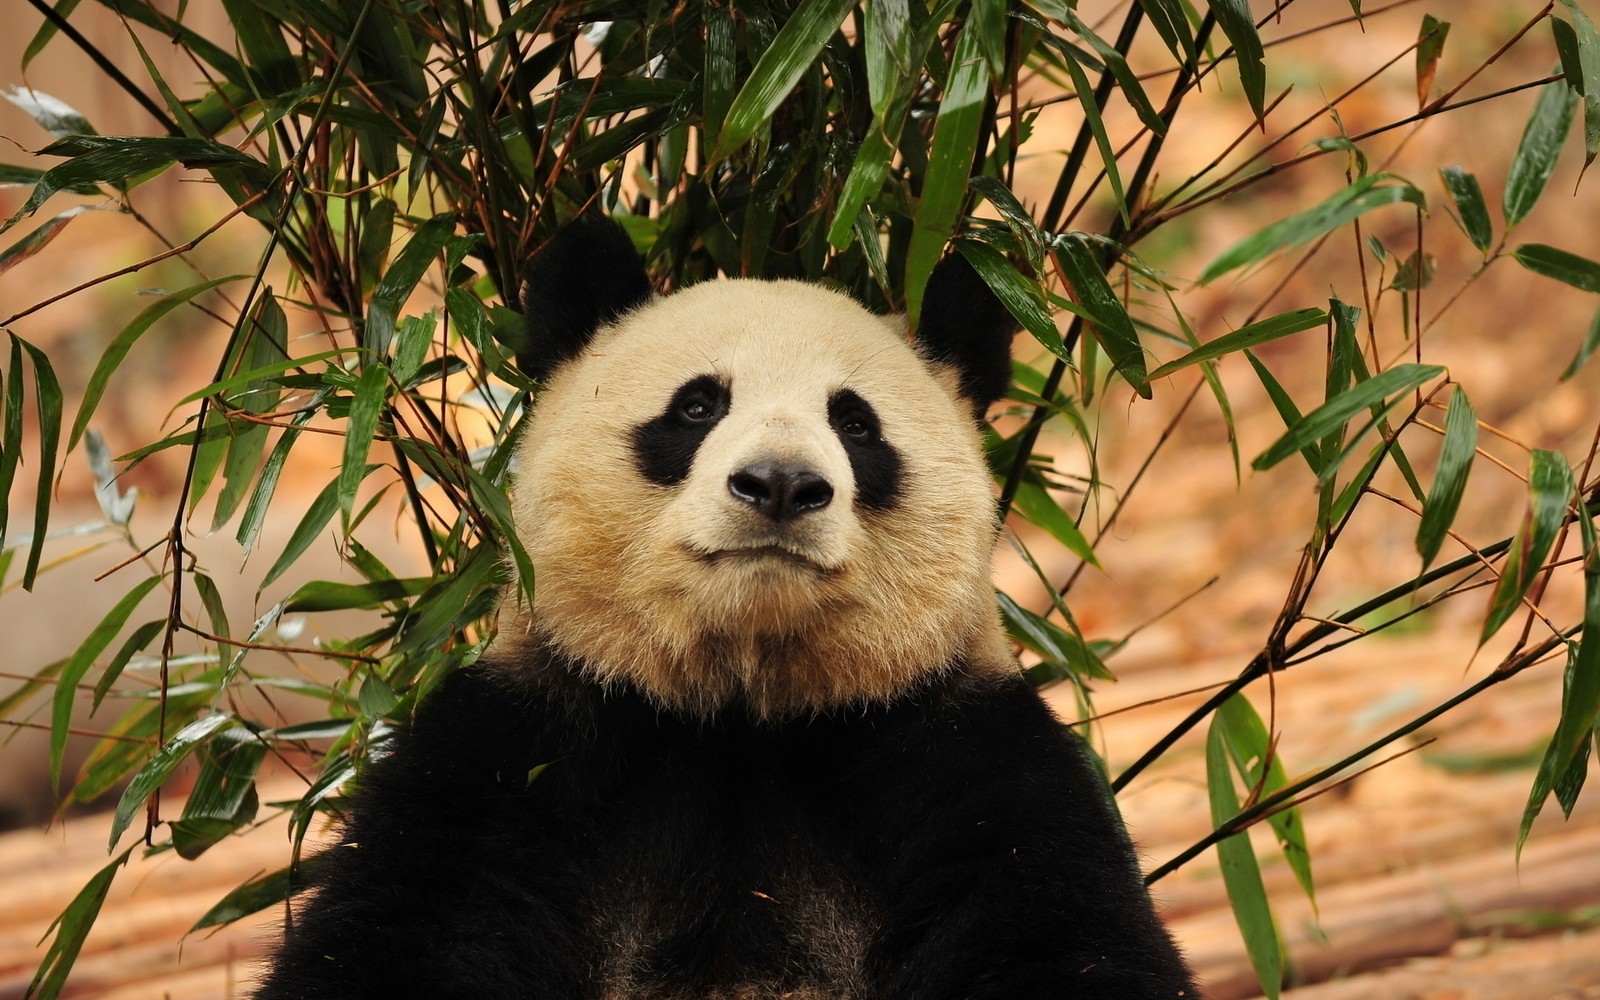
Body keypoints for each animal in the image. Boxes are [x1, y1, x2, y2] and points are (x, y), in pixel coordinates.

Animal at [252, 217, 1203, 998]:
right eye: (698, 405)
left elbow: (1064, 940)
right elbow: (399, 934)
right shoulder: (523, 754)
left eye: (856, 424)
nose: (780, 484)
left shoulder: (961, 757)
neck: (743, 710)